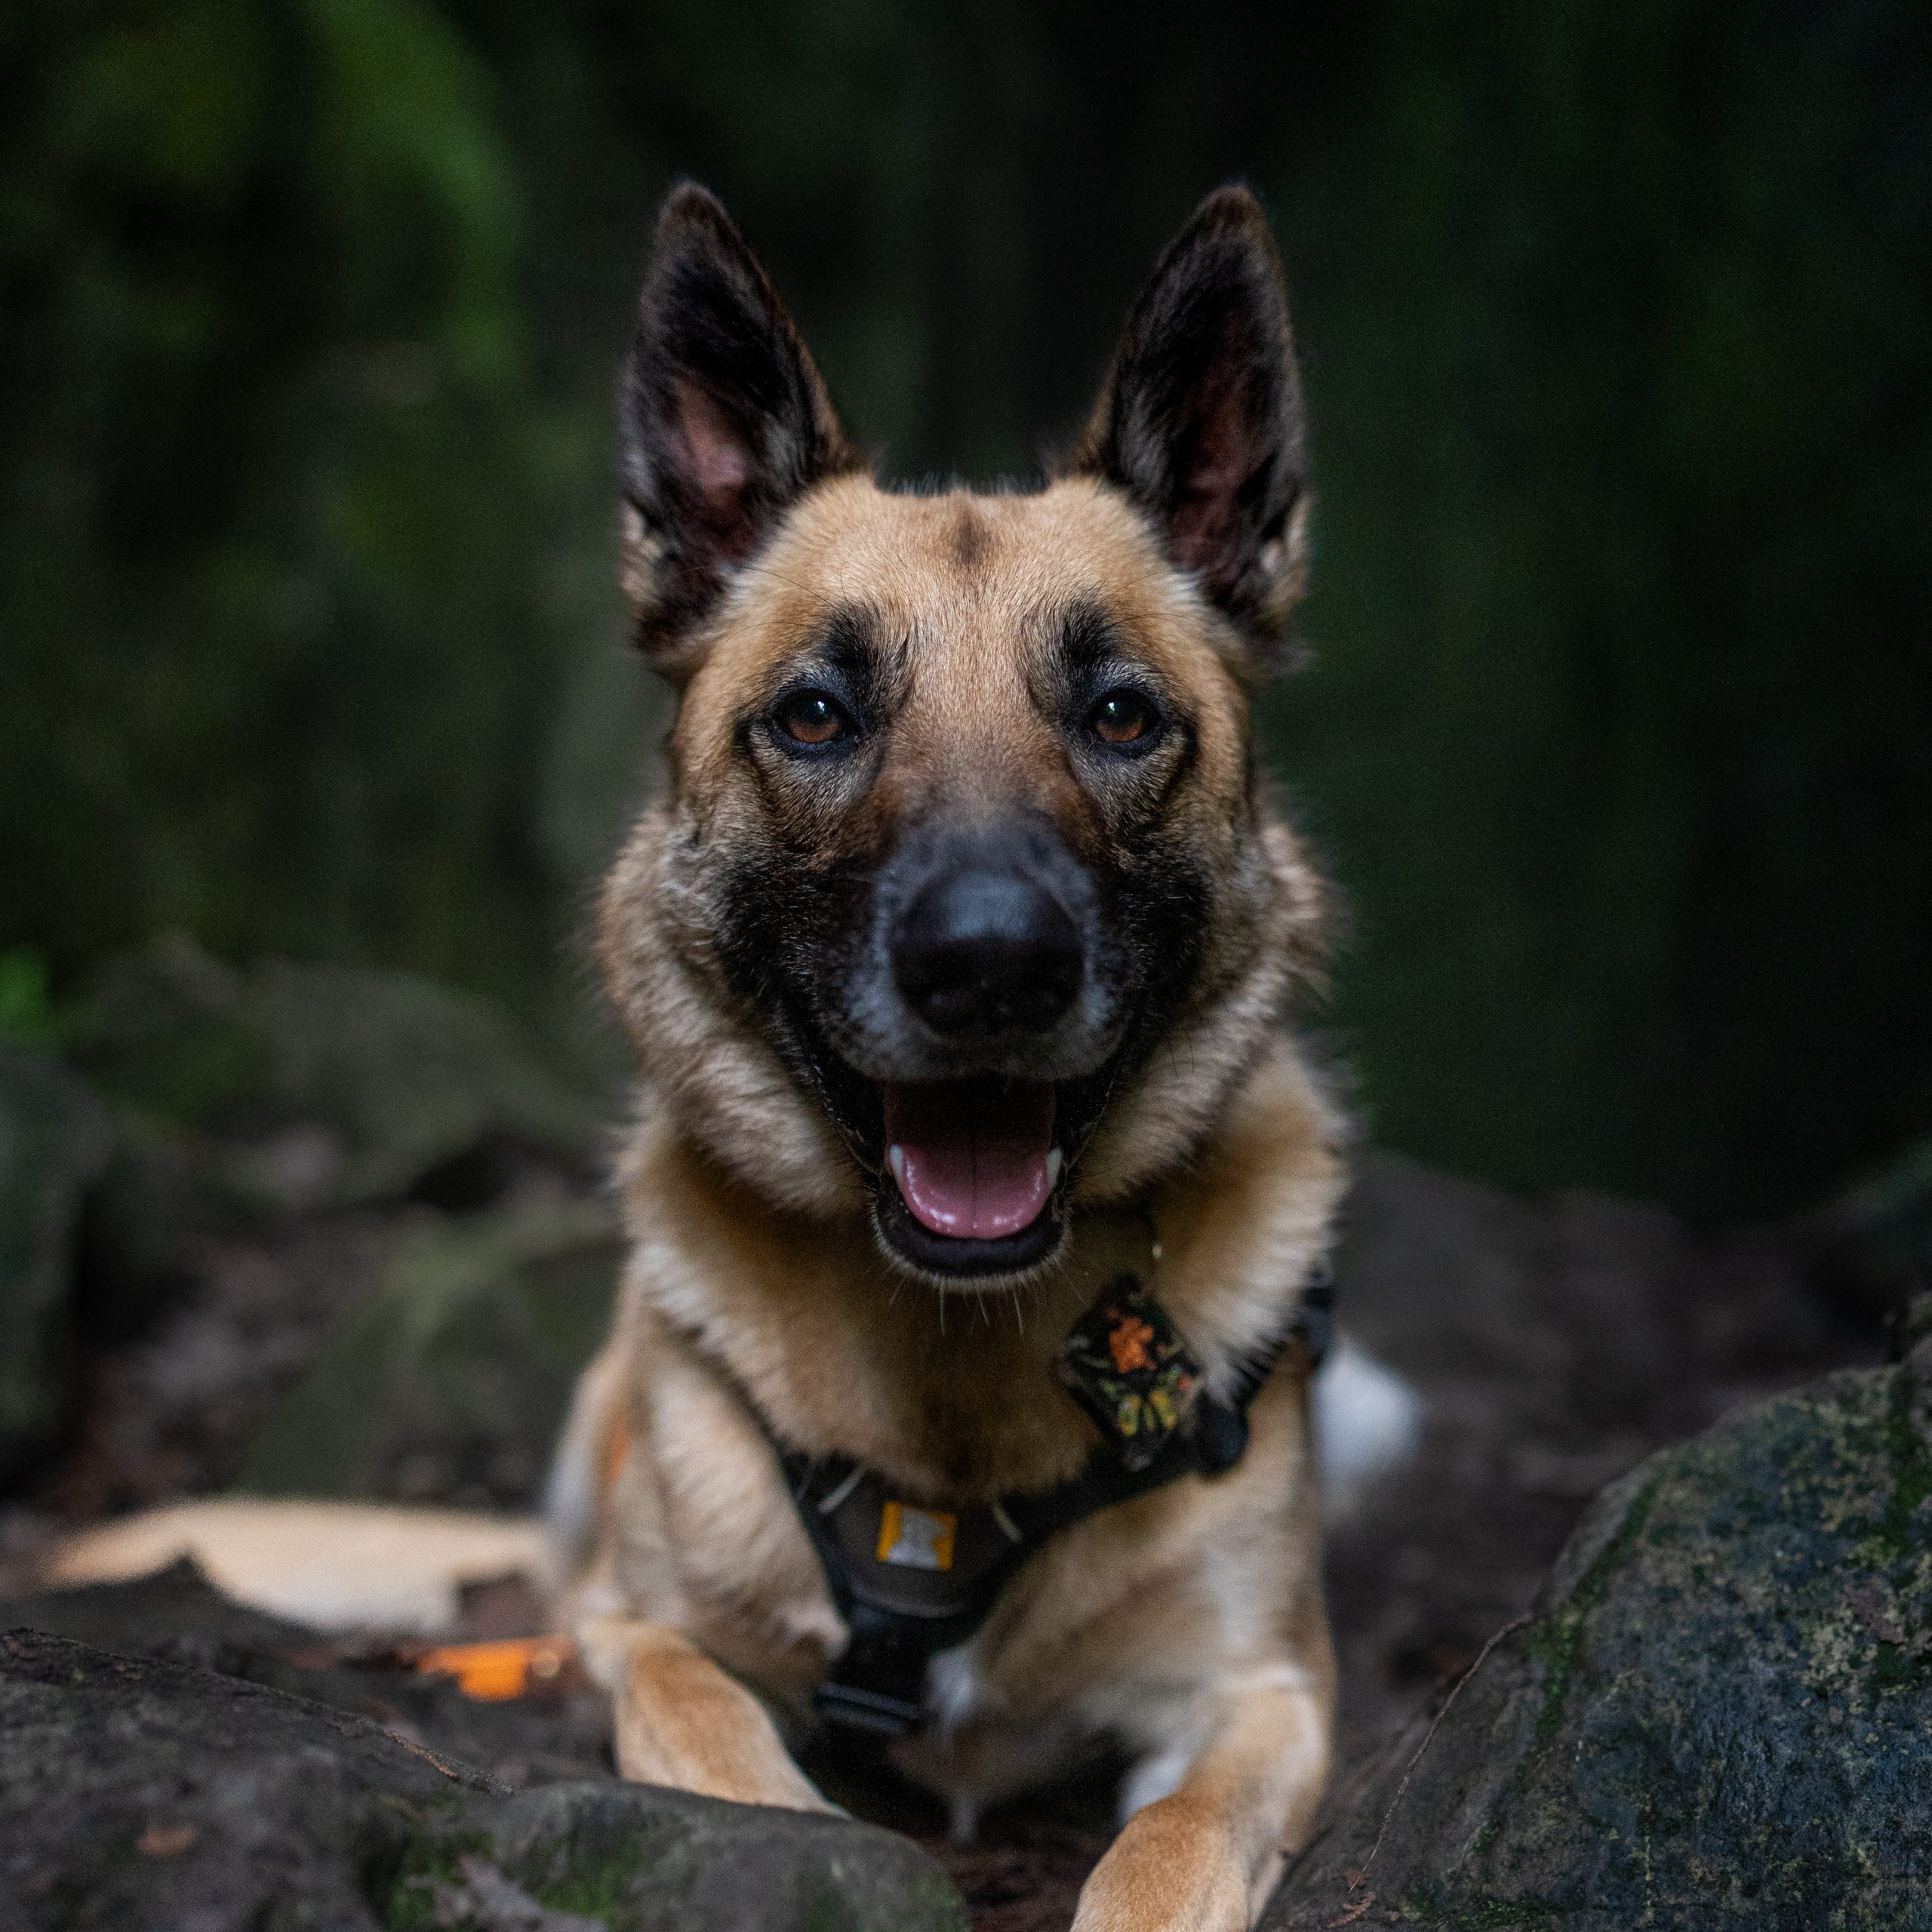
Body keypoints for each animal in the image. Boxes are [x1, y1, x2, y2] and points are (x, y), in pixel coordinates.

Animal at [546, 180, 1352, 1932]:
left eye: (1119, 714)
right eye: (815, 715)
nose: (990, 967)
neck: (955, 1374)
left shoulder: (1258, 1696)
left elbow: (1165, 1853)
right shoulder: (636, 1630)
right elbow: (714, 1738)